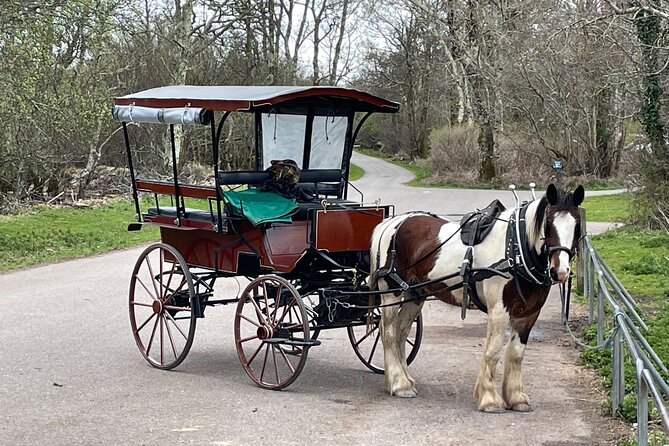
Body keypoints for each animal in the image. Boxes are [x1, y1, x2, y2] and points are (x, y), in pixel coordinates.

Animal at [369, 183, 584, 412]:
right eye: (549, 224)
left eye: (577, 225)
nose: (560, 271)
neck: (515, 249)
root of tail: (393, 222)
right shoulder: (499, 311)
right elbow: (493, 351)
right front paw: (489, 398)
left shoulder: (529, 314)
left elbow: (517, 353)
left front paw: (516, 398)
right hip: (391, 293)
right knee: (389, 333)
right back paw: (398, 384)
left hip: (415, 295)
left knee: (401, 333)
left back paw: (405, 380)